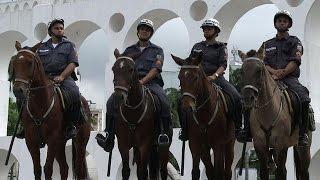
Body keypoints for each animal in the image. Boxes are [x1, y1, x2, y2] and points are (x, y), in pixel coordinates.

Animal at [10, 41, 90, 180]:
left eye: (30, 63)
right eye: (15, 63)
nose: (18, 90)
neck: (40, 104)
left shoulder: (52, 138)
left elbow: (48, 168)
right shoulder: (31, 140)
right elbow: (37, 169)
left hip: (80, 143)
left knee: (79, 170)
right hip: (60, 144)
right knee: (64, 168)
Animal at [240, 48, 312, 179]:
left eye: (259, 70)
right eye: (241, 71)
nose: (248, 98)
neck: (267, 112)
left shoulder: (281, 145)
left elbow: (280, 173)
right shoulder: (260, 146)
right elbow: (264, 172)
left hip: (304, 149)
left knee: (304, 172)